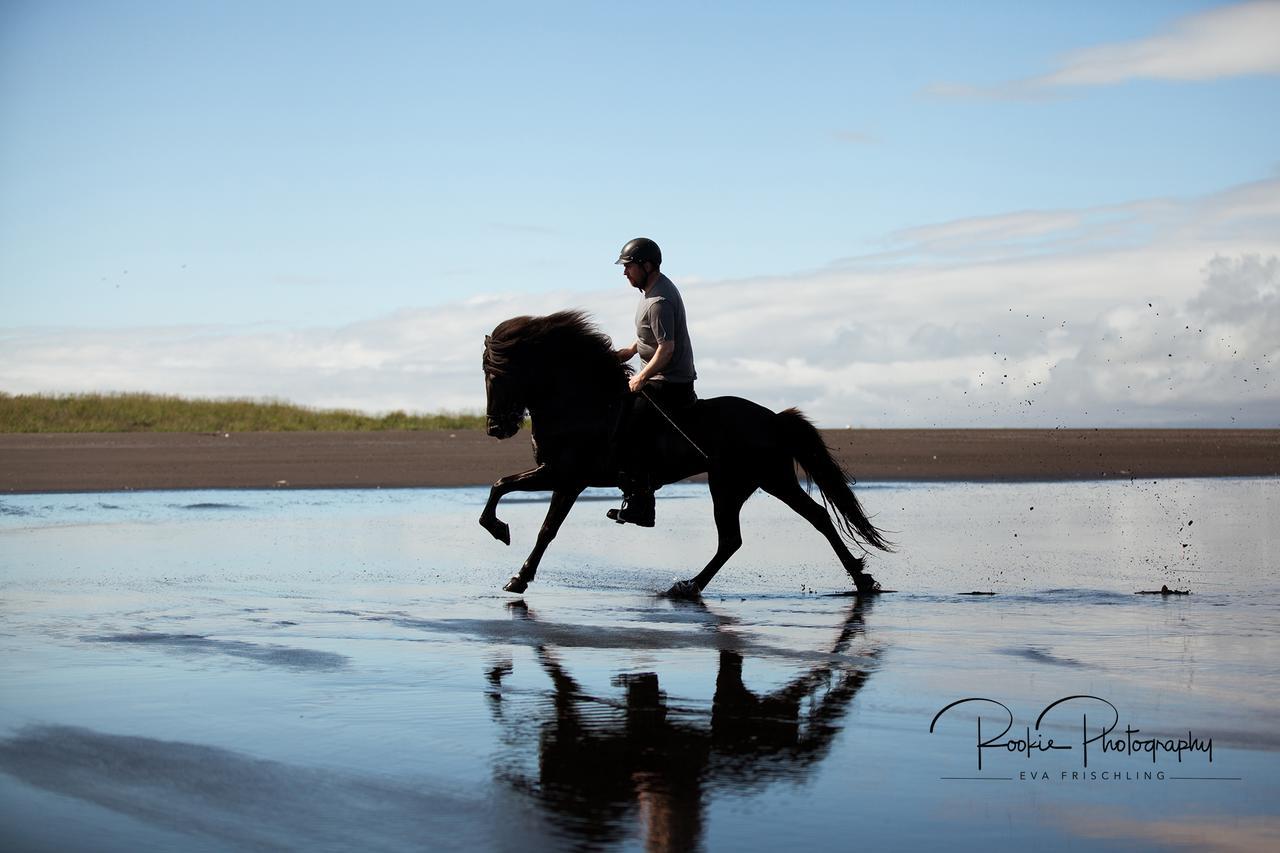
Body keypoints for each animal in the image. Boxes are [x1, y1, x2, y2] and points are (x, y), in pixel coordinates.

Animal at [481, 308, 890, 594]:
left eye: (496, 375)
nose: (496, 429)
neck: (580, 401)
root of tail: (774, 420)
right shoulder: (559, 476)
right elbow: (511, 494)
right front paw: (507, 548)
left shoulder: (565, 477)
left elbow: (533, 516)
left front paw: (513, 567)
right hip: (749, 483)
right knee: (754, 534)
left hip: (745, 482)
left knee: (773, 528)